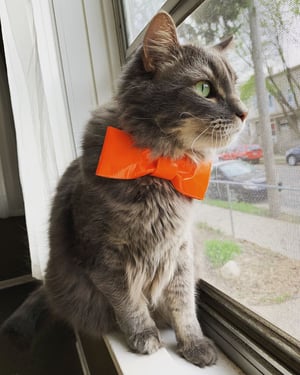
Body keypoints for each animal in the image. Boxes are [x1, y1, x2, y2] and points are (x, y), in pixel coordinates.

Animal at [1, 11, 247, 368]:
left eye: (236, 87)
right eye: (205, 88)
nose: (245, 112)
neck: (160, 168)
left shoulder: (180, 251)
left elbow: (184, 305)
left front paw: (193, 344)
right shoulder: (104, 257)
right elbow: (129, 303)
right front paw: (144, 336)